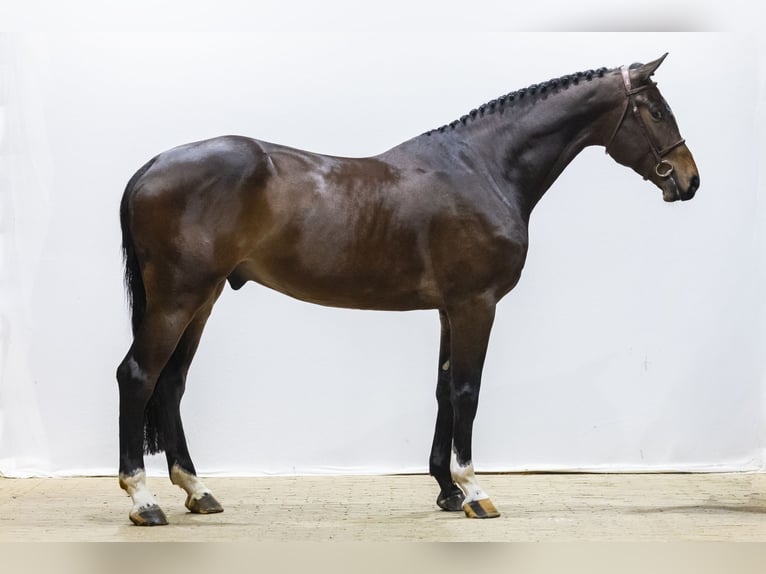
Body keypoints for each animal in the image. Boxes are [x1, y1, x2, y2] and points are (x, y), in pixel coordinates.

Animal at [116, 54, 699, 525]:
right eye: (655, 111)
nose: (688, 180)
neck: (483, 169)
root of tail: (150, 168)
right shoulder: (475, 305)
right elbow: (467, 390)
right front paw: (473, 491)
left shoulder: (448, 309)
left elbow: (443, 388)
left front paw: (446, 489)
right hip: (178, 298)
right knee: (139, 376)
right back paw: (144, 500)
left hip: (204, 298)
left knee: (172, 383)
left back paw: (198, 491)